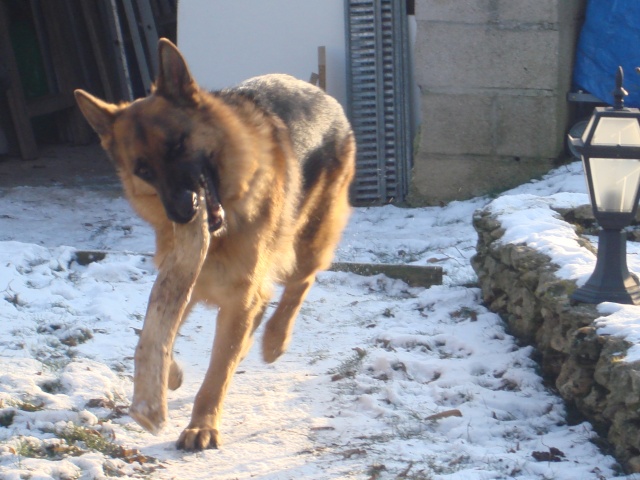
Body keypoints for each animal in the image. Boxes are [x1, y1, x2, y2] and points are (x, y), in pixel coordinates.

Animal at [76, 38, 356, 450]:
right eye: (143, 169)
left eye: (178, 145)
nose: (181, 213)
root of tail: (318, 90)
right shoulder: (188, 282)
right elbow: (153, 337)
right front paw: (170, 375)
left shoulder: (240, 292)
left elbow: (217, 372)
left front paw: (202, 425)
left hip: (310, 236)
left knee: (299, 283)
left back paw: (275, 340)